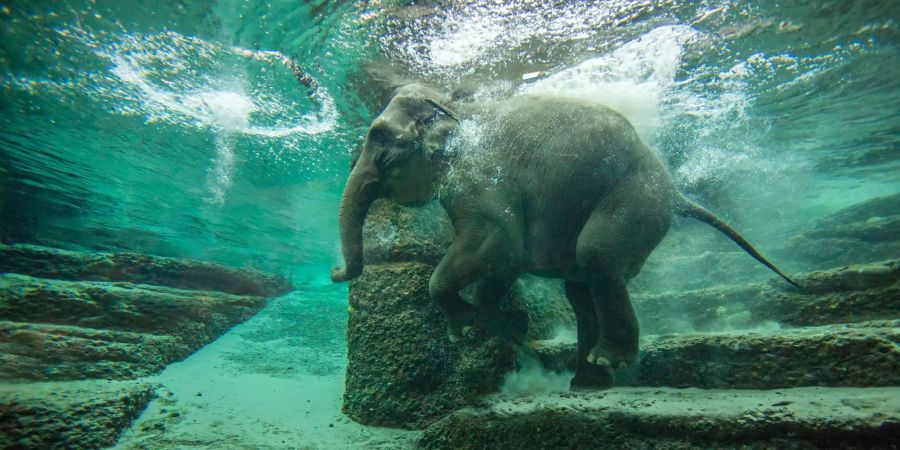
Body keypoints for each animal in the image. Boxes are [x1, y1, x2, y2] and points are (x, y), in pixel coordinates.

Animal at [330, 83, 796, 390]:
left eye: (379, 136)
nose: (335, 272)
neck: (458, 107)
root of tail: (677, 193)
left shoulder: (480, 175)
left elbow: (496, 241)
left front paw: (463, 329)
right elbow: (502, 262)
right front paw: (508, 325)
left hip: (634, 198)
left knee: (598, 257)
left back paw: (609, 361)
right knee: (581, 289)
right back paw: (588, 381)